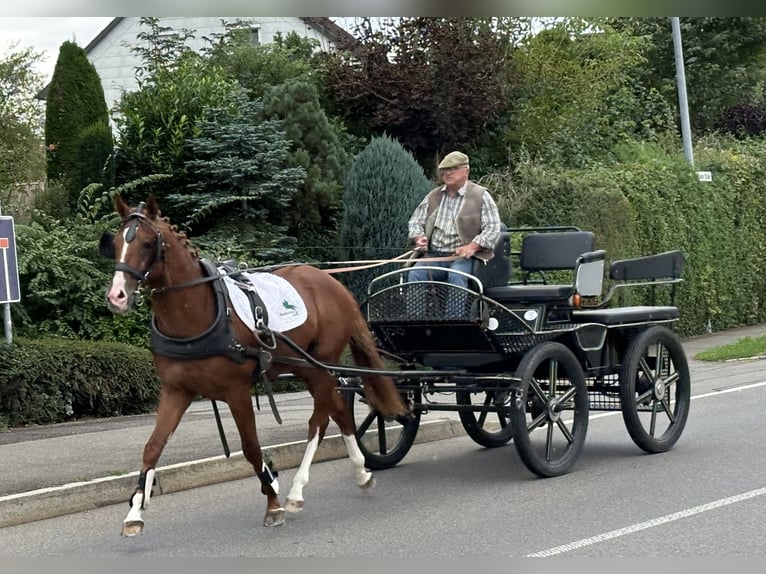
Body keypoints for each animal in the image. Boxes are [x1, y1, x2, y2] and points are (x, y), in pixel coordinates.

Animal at [105, 196, 412, 536]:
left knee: (318, 421)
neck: (199, 311)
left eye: (147, 243)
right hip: (307, 366)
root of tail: (333, 284)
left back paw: (297, 491)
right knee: (339, 412)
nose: (117, 296)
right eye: (115, 242)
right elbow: (152, 447)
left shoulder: (236, 391)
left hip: (320, 363)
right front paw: (134, 512)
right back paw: (361, 473)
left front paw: (273, 500)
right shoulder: (176, 390)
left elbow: (251, 447)